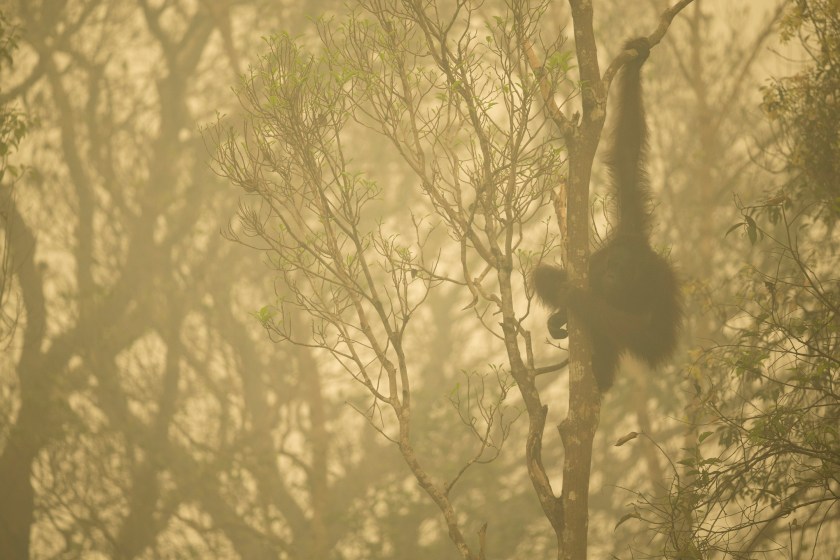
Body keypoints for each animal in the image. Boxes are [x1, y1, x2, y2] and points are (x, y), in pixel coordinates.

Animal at [533, 38, 681, 392]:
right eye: (612, 265)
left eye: (622, 271)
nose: (609, 276)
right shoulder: (629, 230)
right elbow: (627, 156)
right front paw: (637, 60)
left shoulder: (663, 287)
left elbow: (654, 339)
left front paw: (581, 301)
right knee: (543, 275)